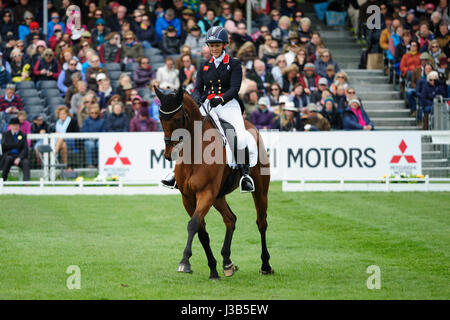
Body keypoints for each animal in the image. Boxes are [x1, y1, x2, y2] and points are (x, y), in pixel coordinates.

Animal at [155, 86, 274, 278]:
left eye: (178, 118)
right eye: (160, 118)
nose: (168, 154)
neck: (194, 152)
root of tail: (250, 126)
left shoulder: (206, 193)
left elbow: (193, 224)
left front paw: (184, 262)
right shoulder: (188, 198)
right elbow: (201, 231)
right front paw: (213, 269)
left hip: (260, 191)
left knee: (261, 223)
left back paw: (265, 265)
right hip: (218, 196)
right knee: (230, 219)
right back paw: (227, 263)